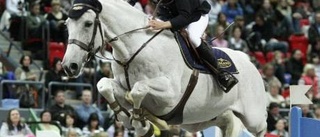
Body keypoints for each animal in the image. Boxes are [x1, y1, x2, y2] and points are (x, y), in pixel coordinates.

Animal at [62, 0, 268, 136]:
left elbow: (138, 89)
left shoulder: (170, 94)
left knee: (262, 127)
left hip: (253, 117)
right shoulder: (119, 84)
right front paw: (130, 119)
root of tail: (249, 61)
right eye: (66, 25)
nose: (69, 66)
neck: (136, 47)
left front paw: (141, 122)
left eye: (88, 23)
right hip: (208, 118)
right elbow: (104, 85)